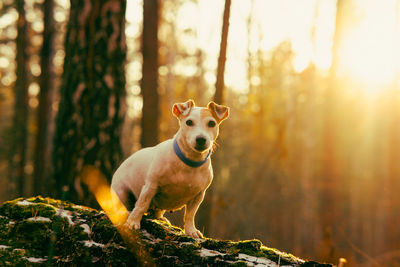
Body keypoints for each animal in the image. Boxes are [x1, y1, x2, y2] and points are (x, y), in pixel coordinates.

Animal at [111, 100, 230, 239]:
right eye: (189, 122)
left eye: (211, 123)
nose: (201, 139)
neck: (188, 162)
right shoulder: (151, 186)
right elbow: (141, 205)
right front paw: (133, 222)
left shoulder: (198, 195)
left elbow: (190, 215)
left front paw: (191, 230)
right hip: (121, 193)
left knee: (154, 213)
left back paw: (160, 218)